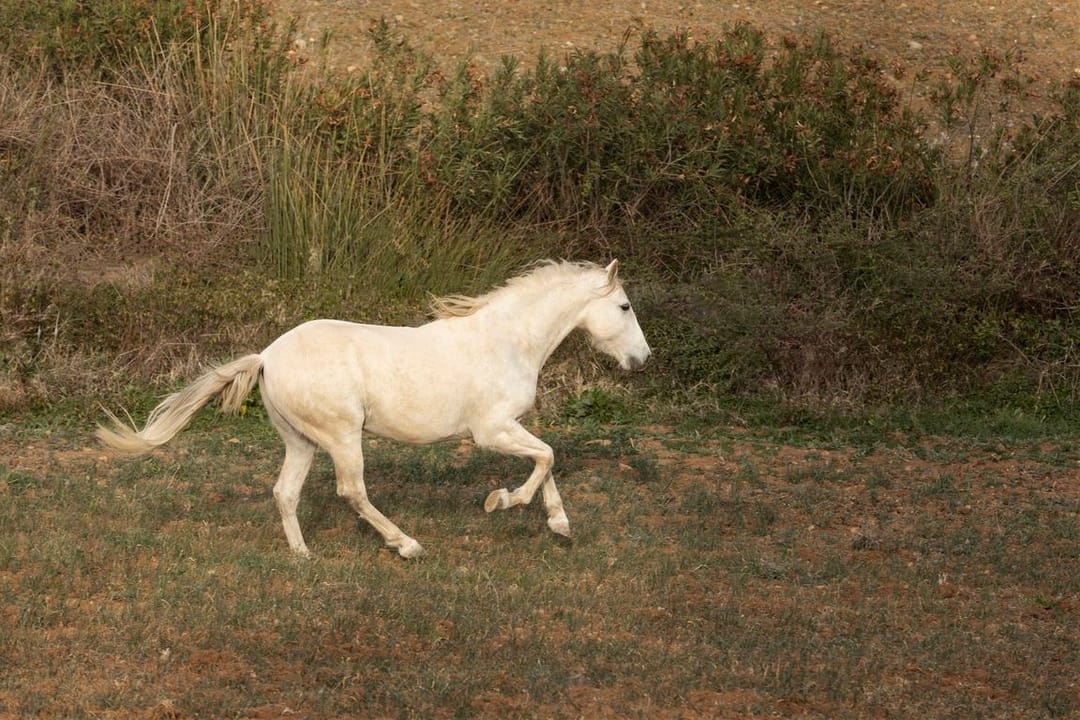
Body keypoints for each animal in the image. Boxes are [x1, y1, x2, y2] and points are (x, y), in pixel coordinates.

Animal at [97, 260, 651, 558]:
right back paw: (407, 545)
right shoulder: (491, 430)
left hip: (301, 440)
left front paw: (559, 524)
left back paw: (304, 556)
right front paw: (501, 501)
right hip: (343, 435)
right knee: (352, 491)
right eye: (624, 307)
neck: (507, 340)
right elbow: (546, 458)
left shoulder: (512, 426)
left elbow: (547, 460)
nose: (642, 359)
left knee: (285, 492)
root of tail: (267, 356)